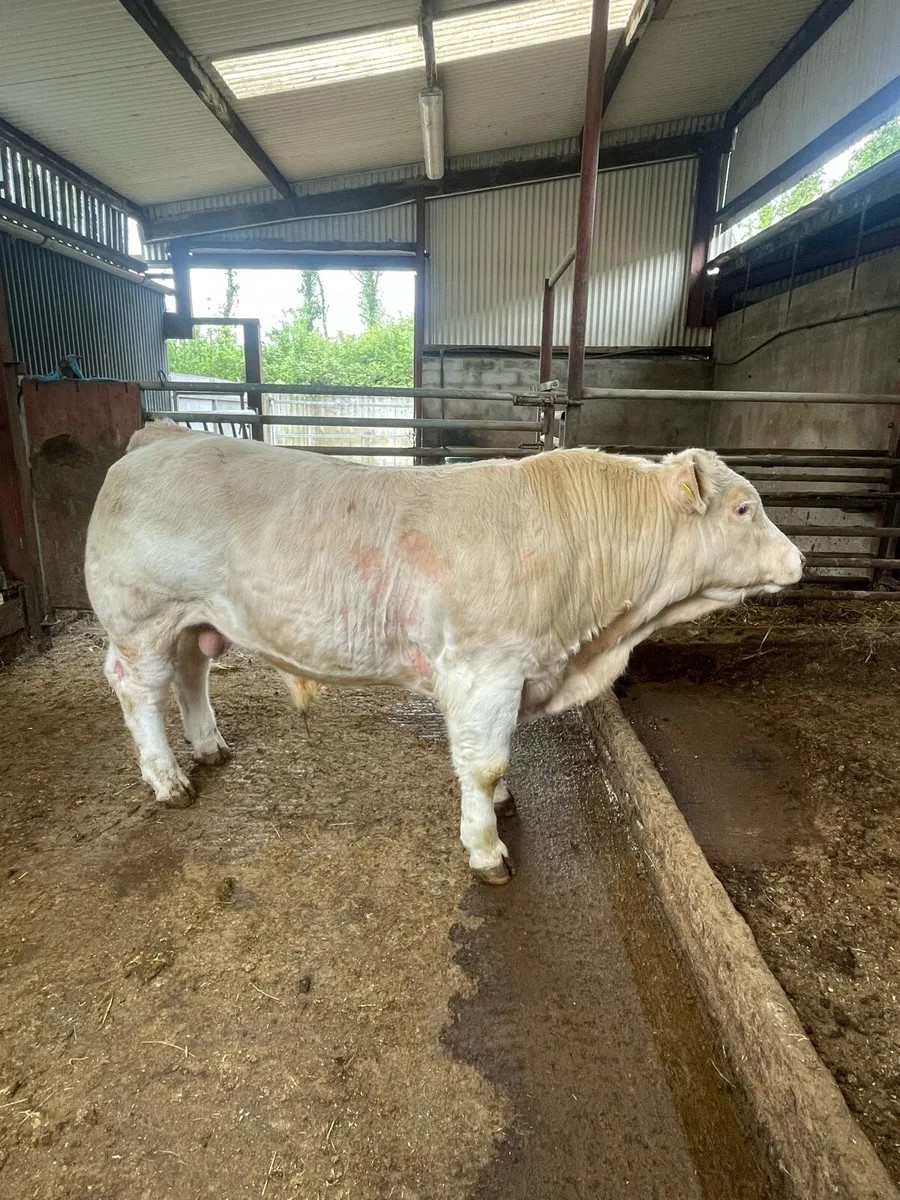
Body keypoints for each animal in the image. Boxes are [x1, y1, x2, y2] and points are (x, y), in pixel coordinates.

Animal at [84, 422, 803, 884]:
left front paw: (505, 805)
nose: (800, 559)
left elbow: (499, 754)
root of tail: (164, 436)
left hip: (195, 620)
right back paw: (169, 780)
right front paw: (487, 849)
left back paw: (208, 747)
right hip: (142, 618)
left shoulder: (514, 674)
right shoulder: (485, 669)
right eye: (744, 508)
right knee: (137, 690)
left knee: (192, 673)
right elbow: (483, 763)